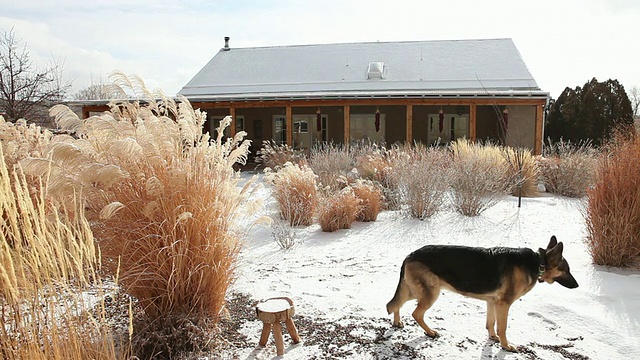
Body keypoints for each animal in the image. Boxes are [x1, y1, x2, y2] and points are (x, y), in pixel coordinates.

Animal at [384, 236, 580, 352]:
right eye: (566, 269)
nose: (577, 285)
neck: (538, 262)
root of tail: (409, 255)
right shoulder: (504, 304)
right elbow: (503, 327)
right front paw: (506, 345)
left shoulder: (493, 302)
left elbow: (491, 323)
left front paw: (493, 337)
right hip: (431, 293)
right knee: (415, 313)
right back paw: (430, 332)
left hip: (416, 291)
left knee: (395, 303)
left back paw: (397, 321)